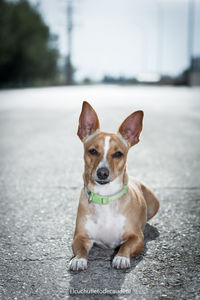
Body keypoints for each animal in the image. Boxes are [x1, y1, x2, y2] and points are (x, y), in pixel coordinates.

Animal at [69, 101, 159, 272]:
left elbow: (126, 246)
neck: (105, 197)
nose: (102, 173)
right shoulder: (81, 236)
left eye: (118, 154)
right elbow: (81, 248)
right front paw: (78, 260)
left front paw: (121, 257)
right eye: (93, 151)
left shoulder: (137, 237)